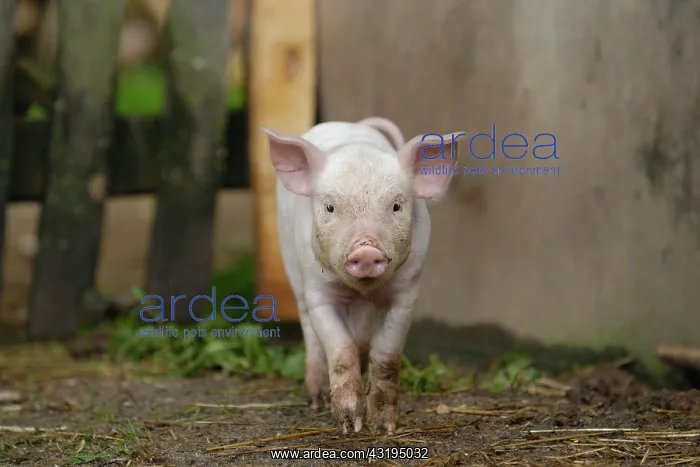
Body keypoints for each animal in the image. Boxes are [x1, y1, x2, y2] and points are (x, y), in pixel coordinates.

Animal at [262, 117, 461, 435]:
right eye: (330, 207)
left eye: (396, 205)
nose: (366, 250)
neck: (362, 289)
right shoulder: (318, 292)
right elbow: (341, 348)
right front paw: (349, 427)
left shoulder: (406, 294)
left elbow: (387, 356)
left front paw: (382, 429)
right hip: (292, 267)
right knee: (310, 330)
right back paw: (316, 400)